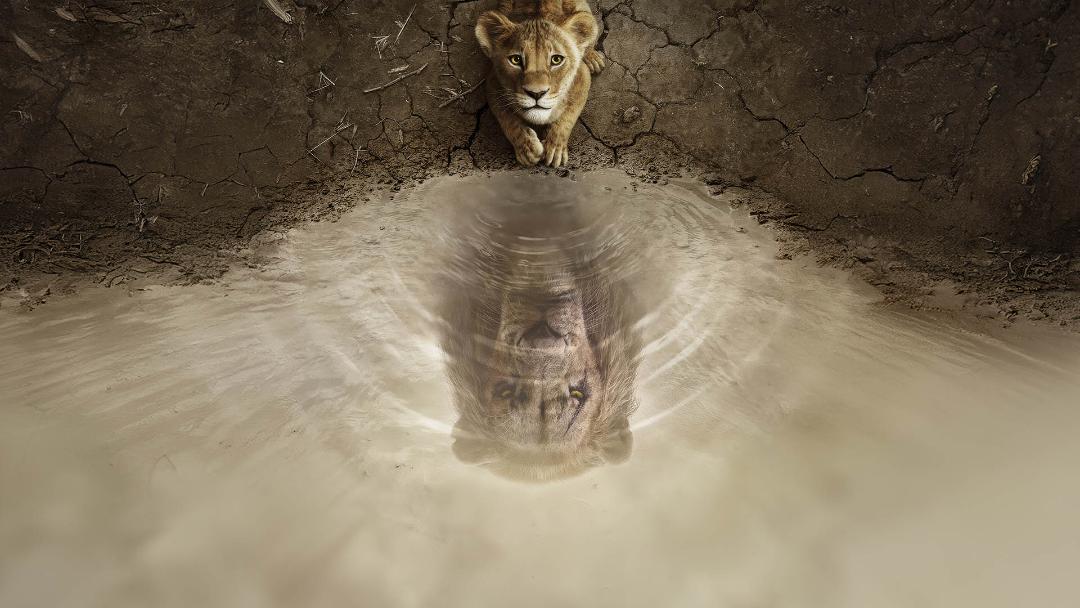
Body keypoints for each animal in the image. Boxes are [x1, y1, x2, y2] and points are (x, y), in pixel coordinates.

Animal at [475, 0, 605, 168]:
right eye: (516, 60)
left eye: (556, 59)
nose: (536, 94)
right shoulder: (492, 82)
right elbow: (507, 119)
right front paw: (527, 149)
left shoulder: (582, 75)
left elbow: (568, 116)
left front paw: (555, 148)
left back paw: (593, 58)